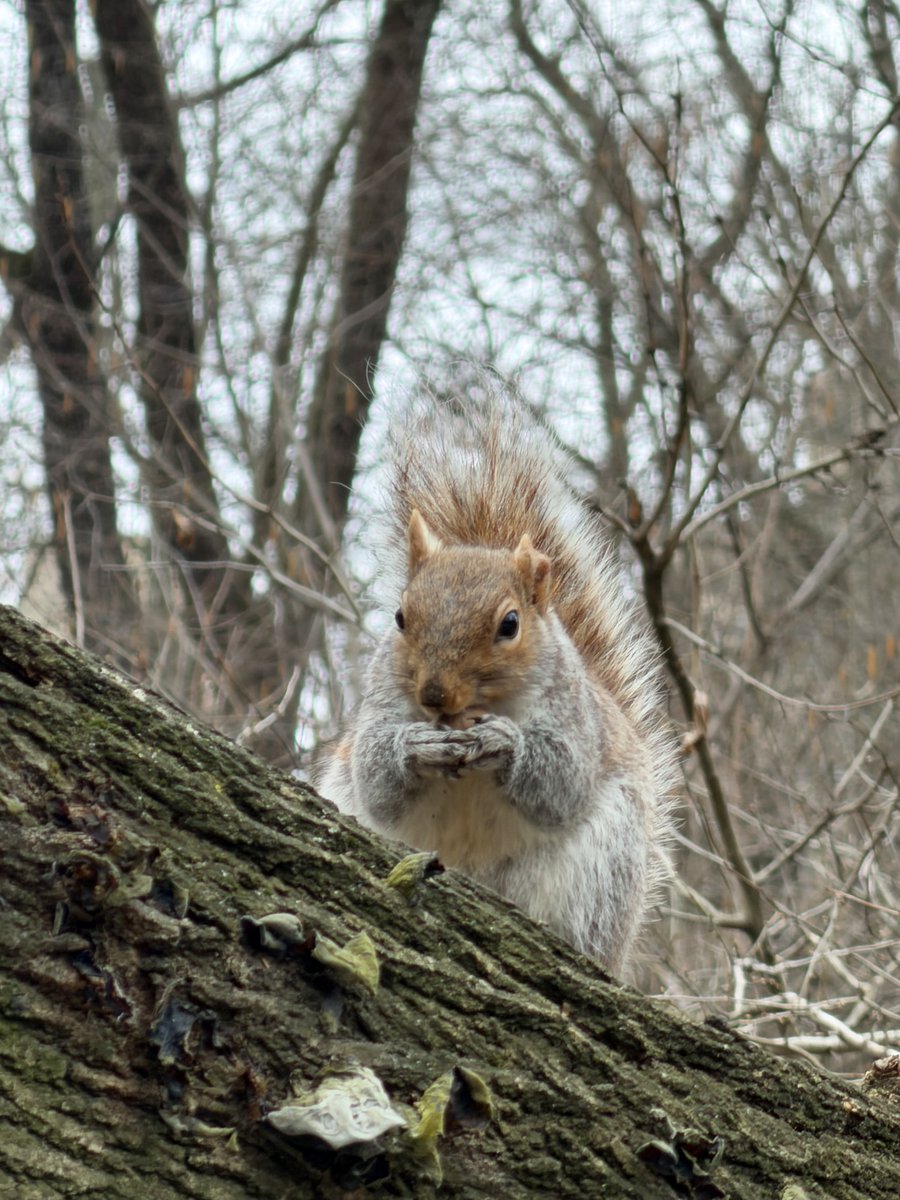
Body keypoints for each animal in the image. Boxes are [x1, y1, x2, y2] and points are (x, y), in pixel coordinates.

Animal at [315, 391, 676, 975]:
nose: (434, 695)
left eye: (510, 624)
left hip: (602, 869)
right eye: (399, 617)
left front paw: (503, 743)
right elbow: (377, 777)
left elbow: (560, 783)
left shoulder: (576, 724)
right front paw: (416, 746)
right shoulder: (381, 706)